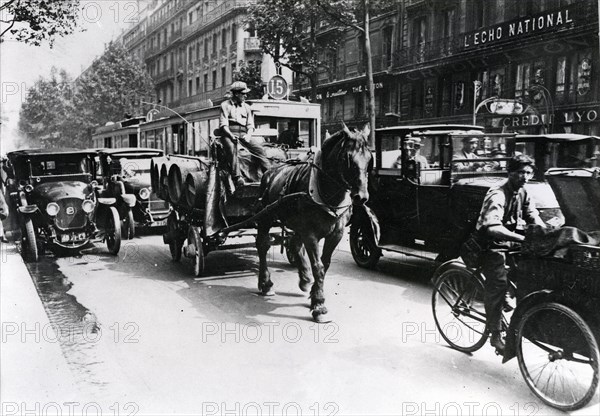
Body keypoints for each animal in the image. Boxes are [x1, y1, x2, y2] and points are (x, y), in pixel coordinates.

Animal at [253, 122, 370, 324]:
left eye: (370, 158)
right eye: (347, 157)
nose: (361, 197)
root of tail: (271, 170)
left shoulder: (336, 234)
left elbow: (325, 264)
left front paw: (315, 294)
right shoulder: (310, 234)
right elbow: (318, 267)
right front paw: (319, 306)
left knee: (294, 244)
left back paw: (305, 279)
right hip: (266, 216)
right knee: (262, 245)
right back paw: (266, 283)